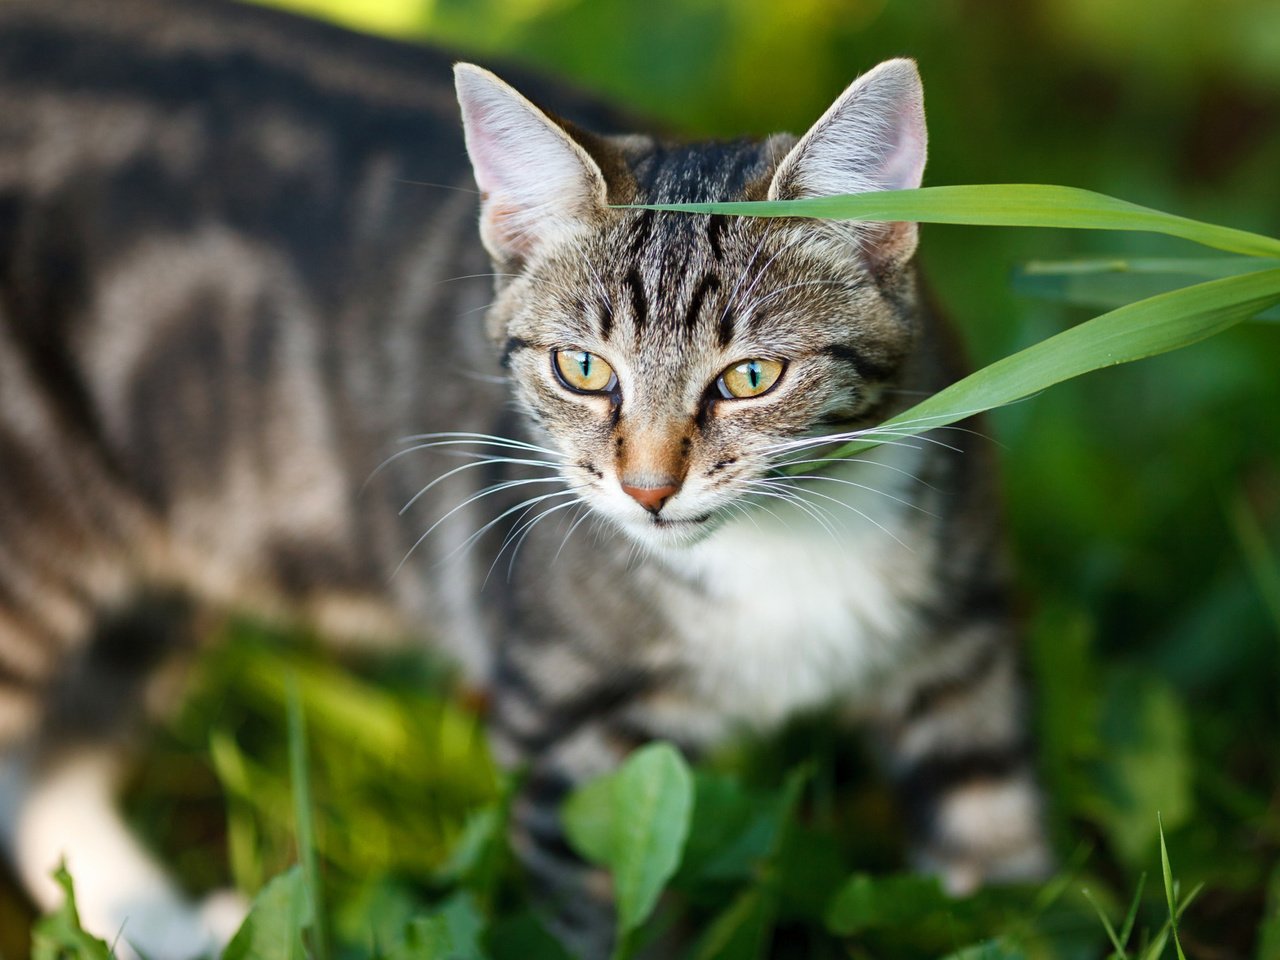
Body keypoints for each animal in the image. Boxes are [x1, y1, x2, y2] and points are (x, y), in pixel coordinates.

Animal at [0, 0, 1049, 957]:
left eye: (752, 377)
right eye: (582, 368)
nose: (649, 489)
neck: (782, 549)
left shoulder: (963, 642)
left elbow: (998, 842)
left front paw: (1020, 915)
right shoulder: (569, 729)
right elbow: (614, 917)